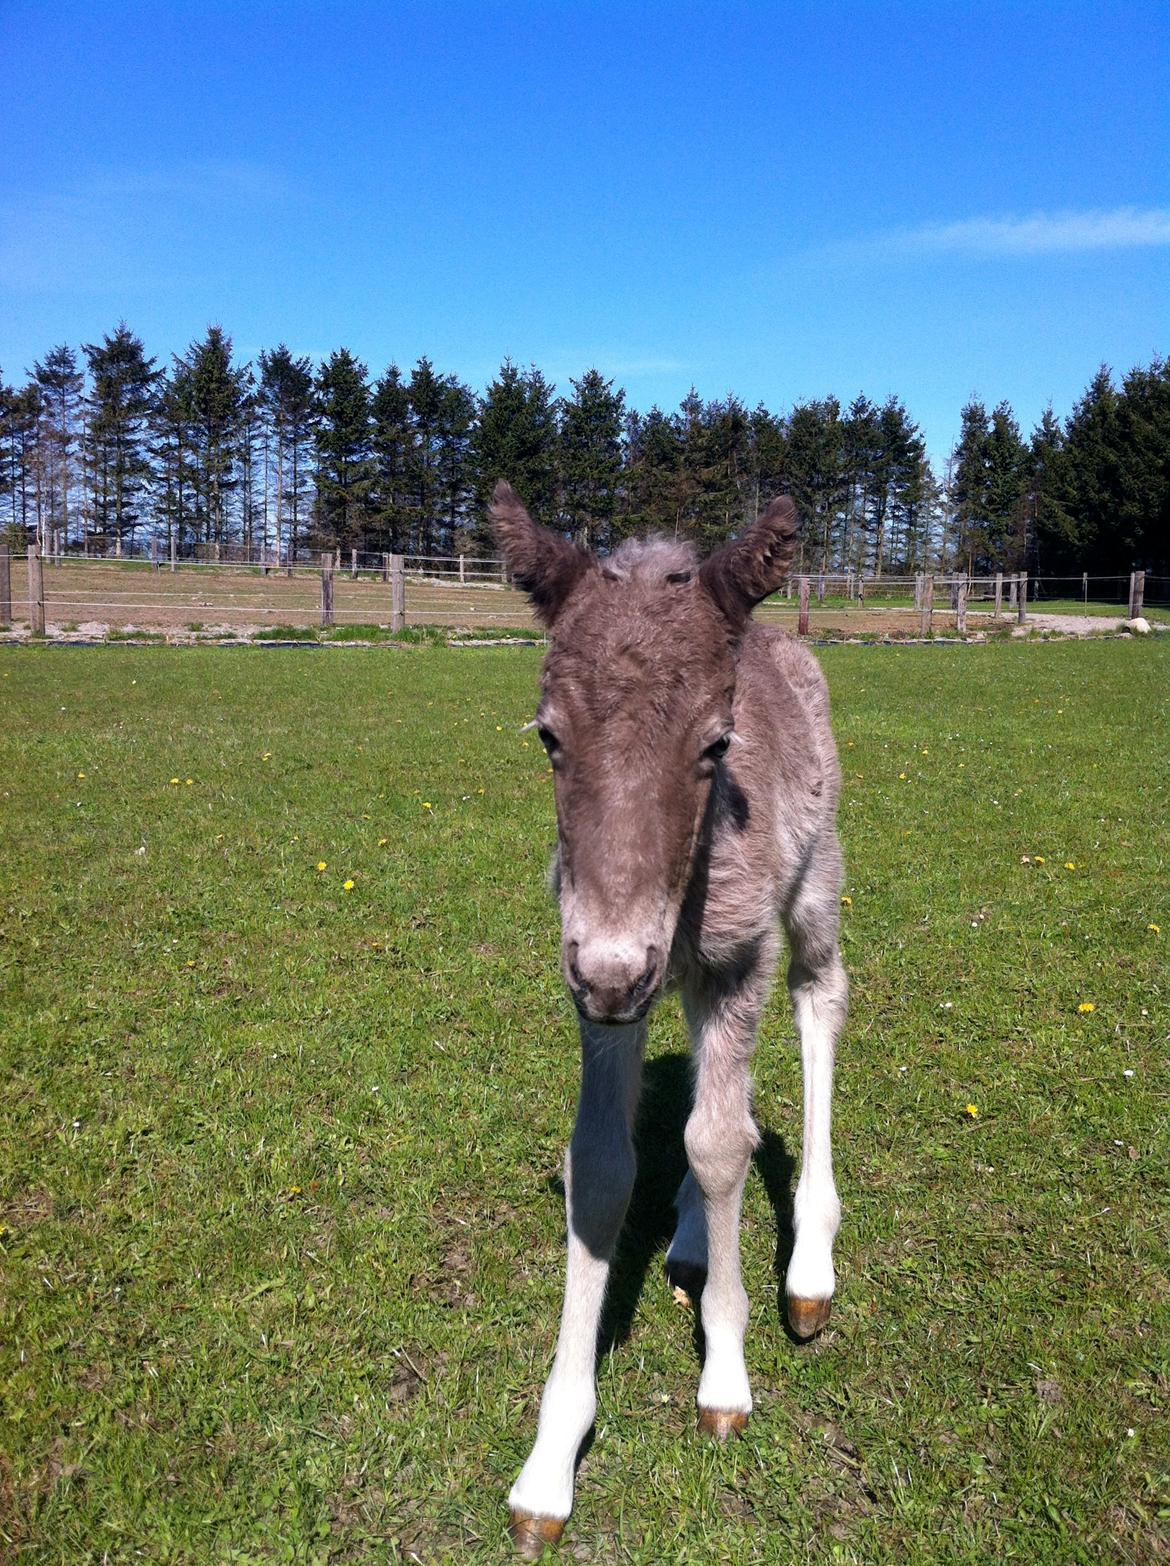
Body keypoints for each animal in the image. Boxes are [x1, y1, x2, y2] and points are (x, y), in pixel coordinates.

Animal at [488, 485, 845, 1553]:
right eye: (548, 736)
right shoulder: (602, 977)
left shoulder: (733, 958)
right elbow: (605, 1166)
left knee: (822, 996)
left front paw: (724, 1374)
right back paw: (690, 1233)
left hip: (814, 880)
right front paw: (550, 1462)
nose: (614, 971)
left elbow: (725, 1145)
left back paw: (810, 1266)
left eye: (716, 744)